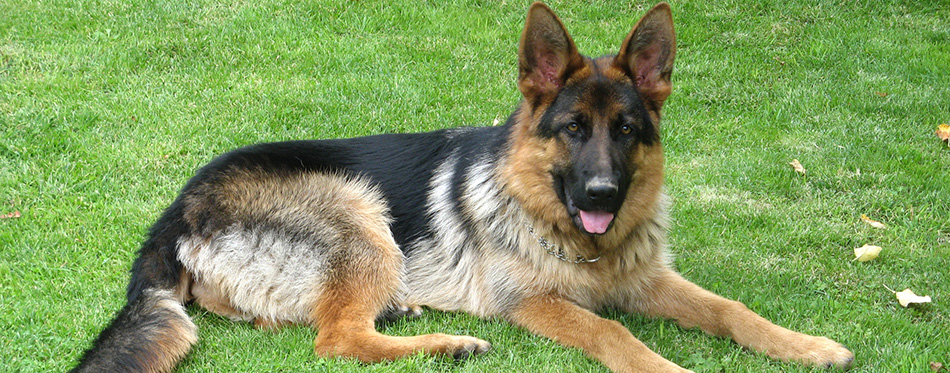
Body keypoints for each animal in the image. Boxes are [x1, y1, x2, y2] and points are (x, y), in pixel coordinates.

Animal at [74, 2, 860, 372]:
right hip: (357, 208)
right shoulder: (534, 302)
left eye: (628, 129)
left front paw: (807, 346)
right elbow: (609, 329)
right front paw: (665, 364)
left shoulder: (648, 279)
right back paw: (446, 342)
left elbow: (732, 310)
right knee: (336, 340)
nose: (602, 195)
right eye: (573, 128)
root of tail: (176, 212)